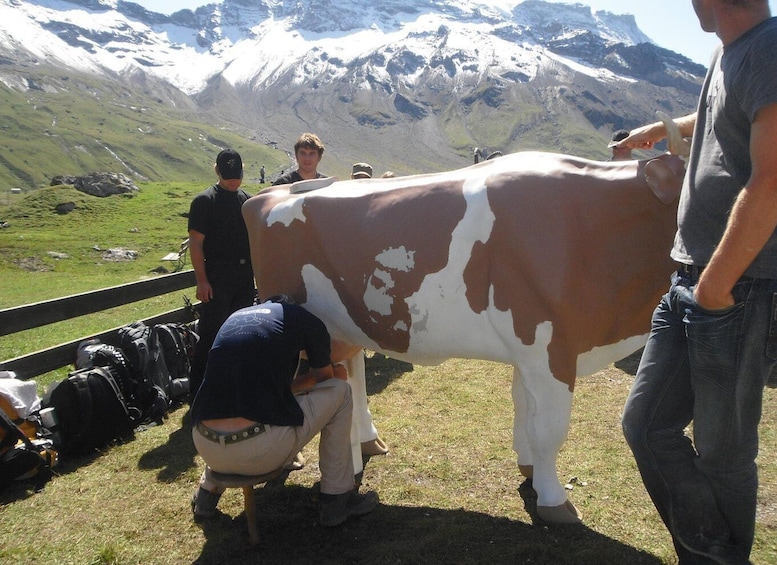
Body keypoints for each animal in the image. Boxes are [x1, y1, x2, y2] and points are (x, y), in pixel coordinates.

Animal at [244, 149, 684, 520]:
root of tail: (265, 195)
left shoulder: (530, 351)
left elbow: (524, 410)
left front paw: (528, 468)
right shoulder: (549, 348)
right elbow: (550, 429)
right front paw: (554, 500)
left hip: (347, 327)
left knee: (353, 379)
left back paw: (369, 442)